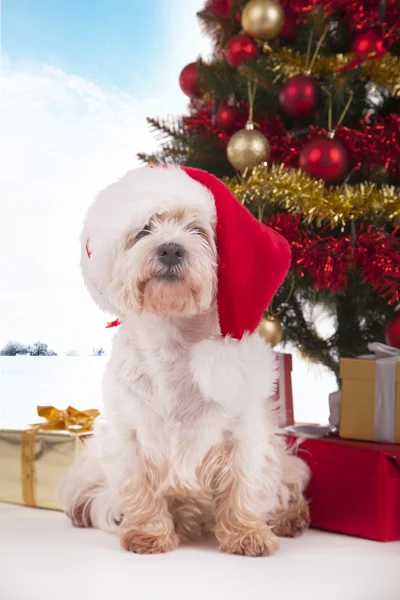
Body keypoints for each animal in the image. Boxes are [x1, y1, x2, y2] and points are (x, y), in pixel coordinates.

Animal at [57, 165, 310, 556]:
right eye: (144, 230)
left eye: (198, 231)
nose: (171, 248)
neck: (173, 339)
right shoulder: (130, 435)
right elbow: (140, 491)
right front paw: (149, 534)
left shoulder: (243, 434)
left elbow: (245, 487)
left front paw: (247, 534)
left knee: (287, 483)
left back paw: (290, 517)